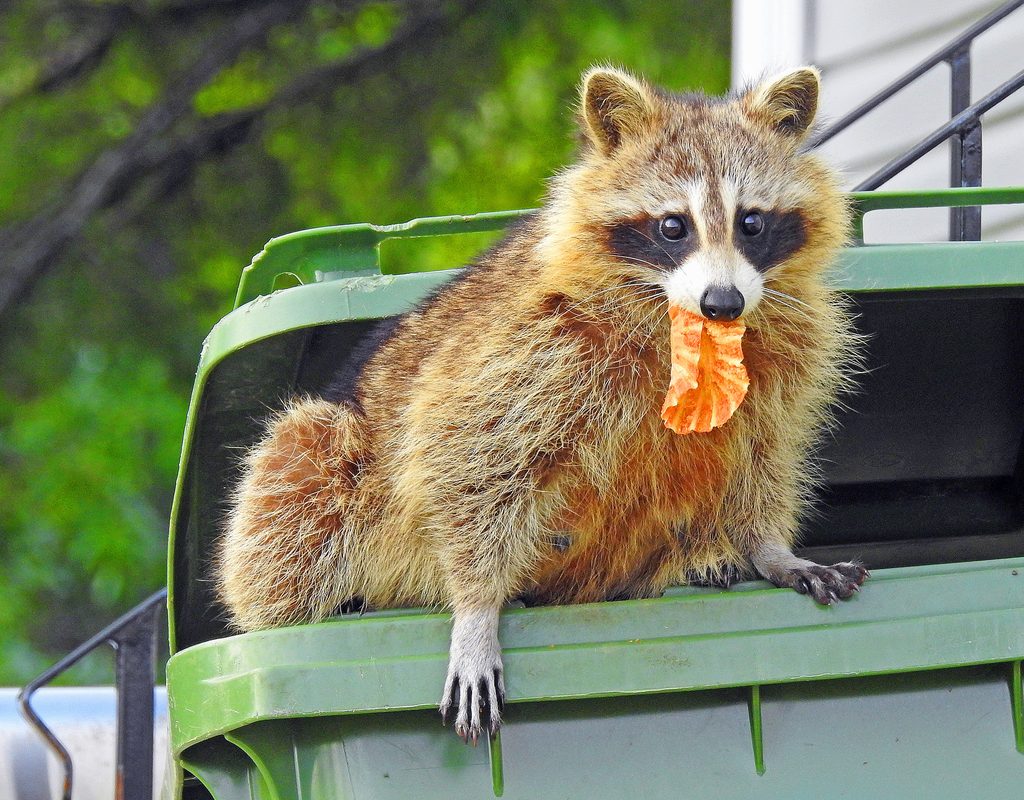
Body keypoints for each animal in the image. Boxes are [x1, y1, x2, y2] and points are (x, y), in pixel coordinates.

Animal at [217, 66, 867, 743]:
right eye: (673, 226)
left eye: (752, 222)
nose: (724, 302)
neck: (685, 325)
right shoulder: (531, 342)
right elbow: (461, 450)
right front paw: (475, 608)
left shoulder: (784, 356)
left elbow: (761, 453)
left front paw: (768, 547)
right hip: (329, 457)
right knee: (299, 472)